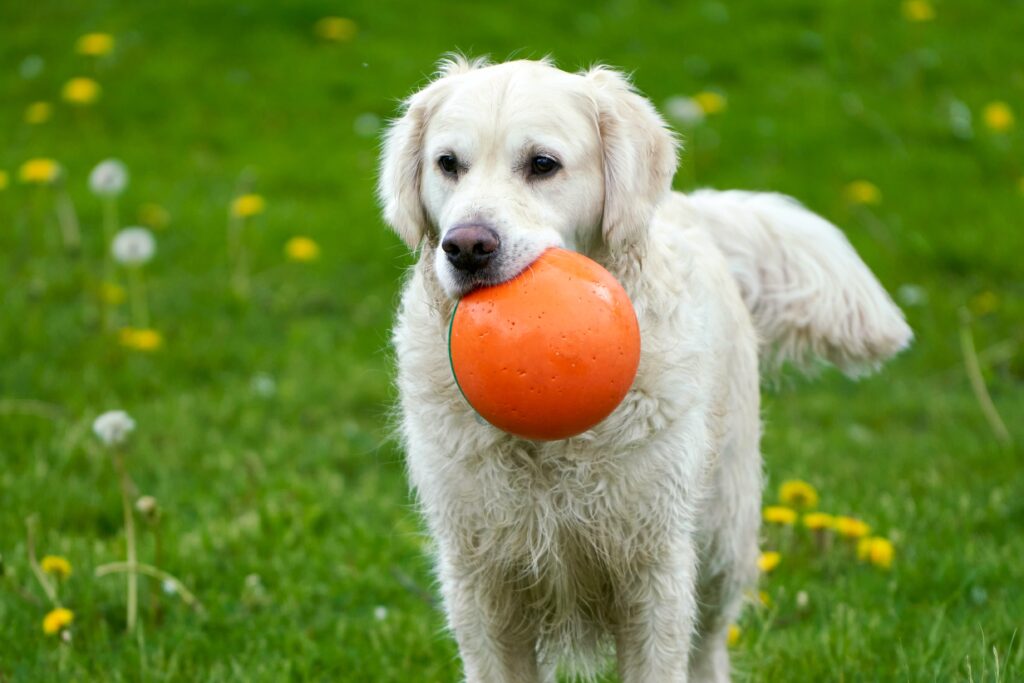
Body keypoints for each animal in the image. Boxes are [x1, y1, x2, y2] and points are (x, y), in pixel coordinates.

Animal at [378, 54, 913, 683]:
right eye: (448, 164)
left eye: (542, 164)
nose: (466, 247)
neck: (550, 447)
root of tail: (691, 205)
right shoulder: (481, 579)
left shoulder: (654, 572)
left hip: (721, 537)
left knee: (709, 646)